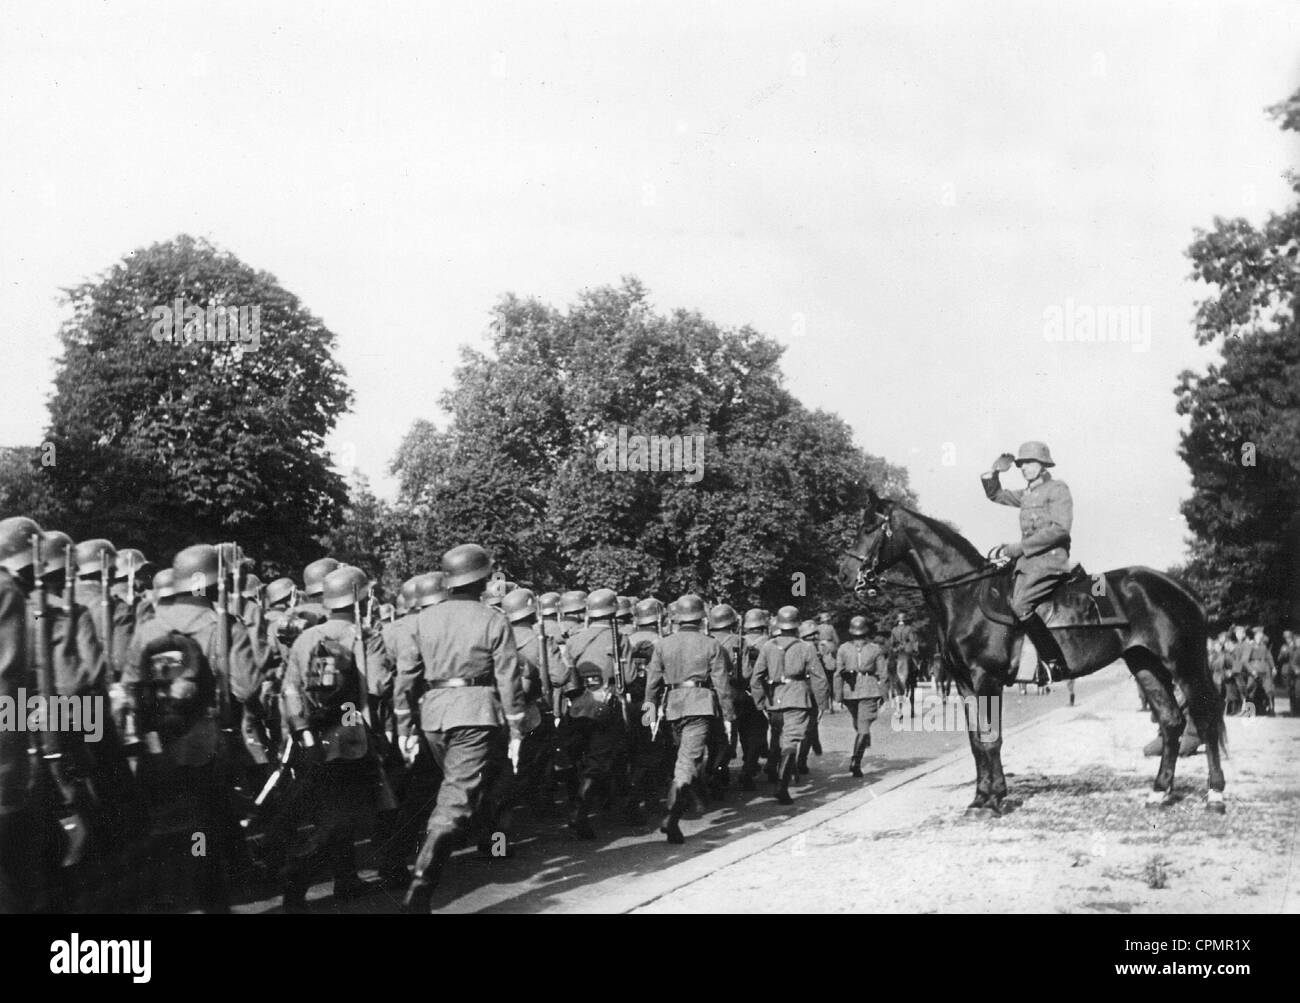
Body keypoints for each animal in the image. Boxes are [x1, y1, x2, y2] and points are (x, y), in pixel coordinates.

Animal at [837, 491, 1222, 815]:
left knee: (1203, 719)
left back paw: (1215, 795)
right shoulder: (964, 684)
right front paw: (980, 798)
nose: (845, 574)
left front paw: (995, 799)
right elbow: (976, 741)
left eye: (869, 527)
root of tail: (1181, 588)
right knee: (1171, 721)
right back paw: (1159, 792)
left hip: (1184, 664)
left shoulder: (986, 679)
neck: (965, 595)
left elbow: (991, 739)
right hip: (1145, 664)